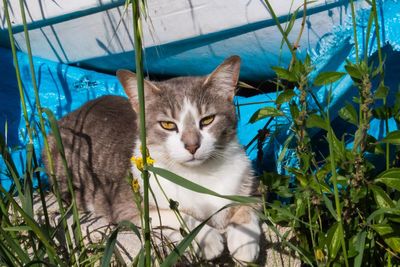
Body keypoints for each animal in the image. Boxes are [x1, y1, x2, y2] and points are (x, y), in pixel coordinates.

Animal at [45, 56, 260, 264]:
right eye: (167, 125)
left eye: (207, 120)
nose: (192, 145)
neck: (200, 174)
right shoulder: (129, 209)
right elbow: (178, 215)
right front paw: (208, 239)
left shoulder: (247, 181)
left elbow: (250, 206)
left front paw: (245, 242)